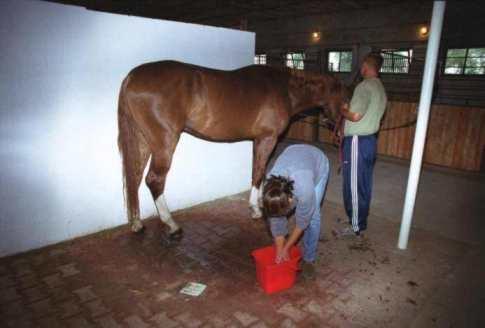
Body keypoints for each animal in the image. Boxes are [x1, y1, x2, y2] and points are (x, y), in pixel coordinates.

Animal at [117, 60, 344, 241]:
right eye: (343, 99)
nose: (339, 127)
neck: (284, 88)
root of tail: (132, 77)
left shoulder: (258, 140)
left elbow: (256, 172)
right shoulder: (267, 139)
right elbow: (259, 172)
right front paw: (256, 210)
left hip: (143, 141)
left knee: (134, 177)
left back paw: (137, 223)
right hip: (164, 143)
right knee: (154, 180)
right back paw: (172, 225)